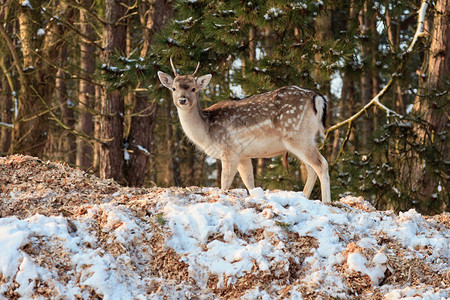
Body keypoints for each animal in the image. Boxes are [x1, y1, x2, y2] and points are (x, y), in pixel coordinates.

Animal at [157, 58, 330, 204]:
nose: (182, 99)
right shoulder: (243, 155)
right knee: (310, 168)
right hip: (304, 138)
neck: (206, 131)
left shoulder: (229, 149)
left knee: (321, 164)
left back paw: (326, 201)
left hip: (296, 135)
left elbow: (225, 183)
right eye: (174, 88)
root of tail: (317, 98)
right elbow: (249, 182)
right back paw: (304, 197)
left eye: (193, 89)